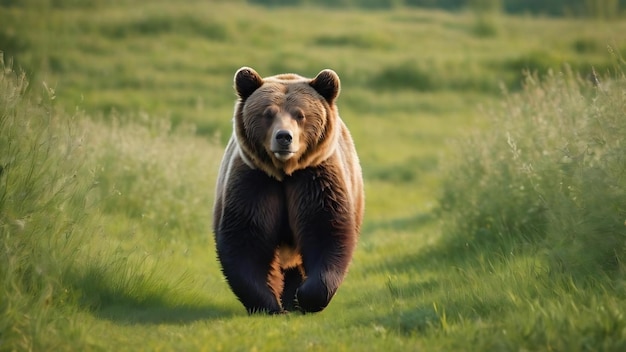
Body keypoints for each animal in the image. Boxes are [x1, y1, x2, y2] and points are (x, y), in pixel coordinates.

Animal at [212, 67, 364, 314]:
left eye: (300, 115)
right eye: (268, 113)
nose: (284, 137)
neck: (284, 172)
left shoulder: (315, 181)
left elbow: (326, 231)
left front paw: (306, 296)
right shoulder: (256, 183)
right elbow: (246, 241)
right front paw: (268, 303)